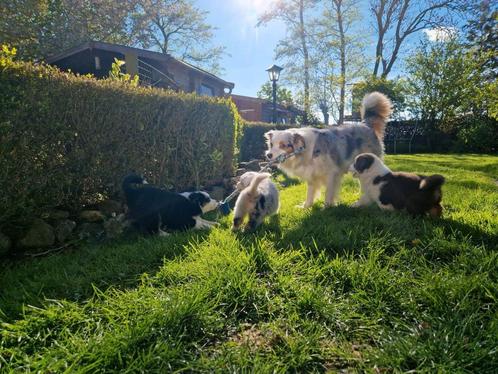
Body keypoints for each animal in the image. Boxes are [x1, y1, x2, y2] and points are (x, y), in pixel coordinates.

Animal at [264, 91, 392, 207]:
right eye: (271, 144)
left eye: (283, 145)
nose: (268, 155)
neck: (306, 150)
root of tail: (366, 125)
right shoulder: (312, 175)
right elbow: (310, 193)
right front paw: (306, 206)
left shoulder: (332, 173)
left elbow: (328, 193)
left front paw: (327, 207)